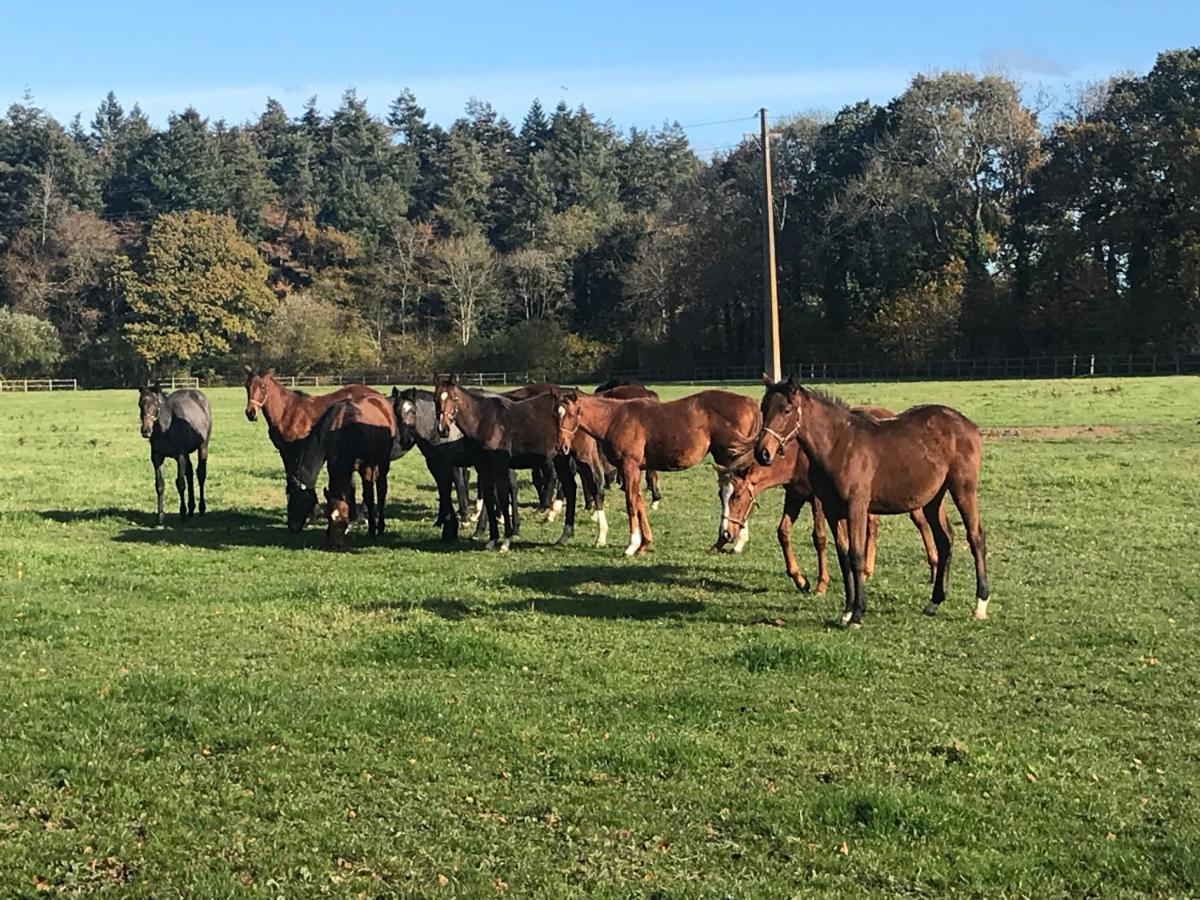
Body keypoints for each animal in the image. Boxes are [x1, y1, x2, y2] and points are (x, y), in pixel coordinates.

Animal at [139, 384, 214, 525]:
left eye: (156, 403)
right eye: (140, 404)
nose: (145, 431)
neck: (167, 427)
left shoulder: (180, 456)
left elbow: (180, 483)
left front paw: (182, 513)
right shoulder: (157, 457)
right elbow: (159, 485)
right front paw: (160, 516)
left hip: (203, 447)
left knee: (200, 474)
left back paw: (201, 508)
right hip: (187, 454)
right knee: (190, 473)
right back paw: (191, 509)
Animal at [286, 391, 396, 547]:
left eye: (301, 501)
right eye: (289, 499)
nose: (292, 526)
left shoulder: (364, 467)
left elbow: (368, 495)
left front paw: (370, 529)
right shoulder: (336, 465)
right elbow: (349, 491)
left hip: (382, 461)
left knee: (381, 489)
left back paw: (379, 526)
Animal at [549, 388, 753, 556]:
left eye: (572, 414)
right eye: (555, 415)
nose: (561, 446)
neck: (614, 419)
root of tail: (748, 402)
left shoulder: (629, 466)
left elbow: (631, 502)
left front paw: (632, 545)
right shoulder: (636, 469)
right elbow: (639, 500)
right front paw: (645, 543)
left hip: (729, 459)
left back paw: (733, 541)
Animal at [710, 405, 936, 595]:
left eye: (737, 496)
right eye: (721, 495)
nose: (725, 533)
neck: (796, 457)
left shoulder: (818, 500)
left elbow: (819, 538)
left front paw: (821, 583)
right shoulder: (794, 496)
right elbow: (783, 532)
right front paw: (800, 580)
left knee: (920, 522)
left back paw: (933, 567)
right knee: (873, 526)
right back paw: (866, 571)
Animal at [753, 374, 988, 628]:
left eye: (786, 409)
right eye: (763, 408)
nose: (762, 453)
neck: (838, 445)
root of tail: (969, 425)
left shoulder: (856, 507)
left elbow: (856, 555)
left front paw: (857, 614)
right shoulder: (832, 511)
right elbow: (843, 557)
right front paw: (846, 611)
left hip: (963, 488)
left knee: (976, 537)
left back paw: (980, 605)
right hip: (933, 498)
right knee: (945, 539)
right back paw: (934, 602)